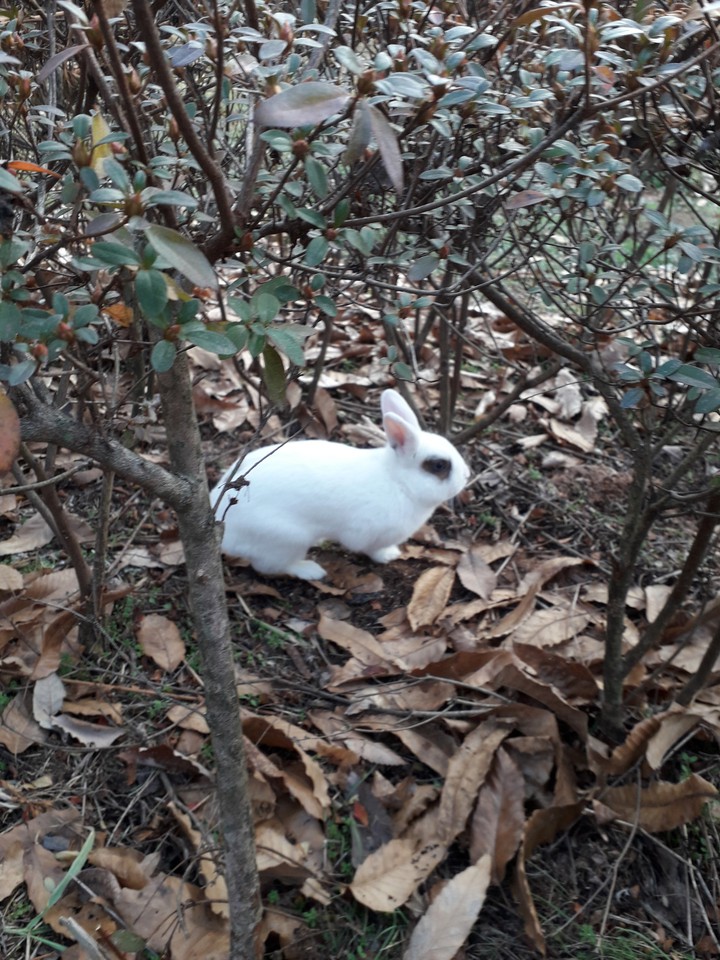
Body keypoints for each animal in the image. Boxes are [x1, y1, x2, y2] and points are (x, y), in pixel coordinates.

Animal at [211, 389, 470, 580]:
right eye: (438, 466)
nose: (466, 475)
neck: (399, 483)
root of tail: (226, 532)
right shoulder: (368, 534)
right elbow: (372, 550)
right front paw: (389, 555)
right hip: (285, 541)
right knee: (271, 567)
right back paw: (311, 571)